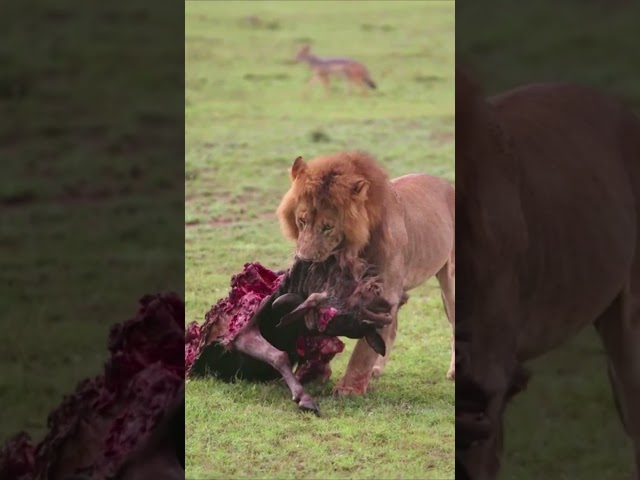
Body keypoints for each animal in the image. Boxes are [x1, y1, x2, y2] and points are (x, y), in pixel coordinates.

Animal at [276, 151, 456, 394]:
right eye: (302, 220)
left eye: (328, 227)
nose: (305, 259)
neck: (351, 252)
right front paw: (315, 372)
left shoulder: (383, 292)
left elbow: (363, 349)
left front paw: (348, 389)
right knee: (393, 328)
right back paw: (376, 370)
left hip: (451, 280)